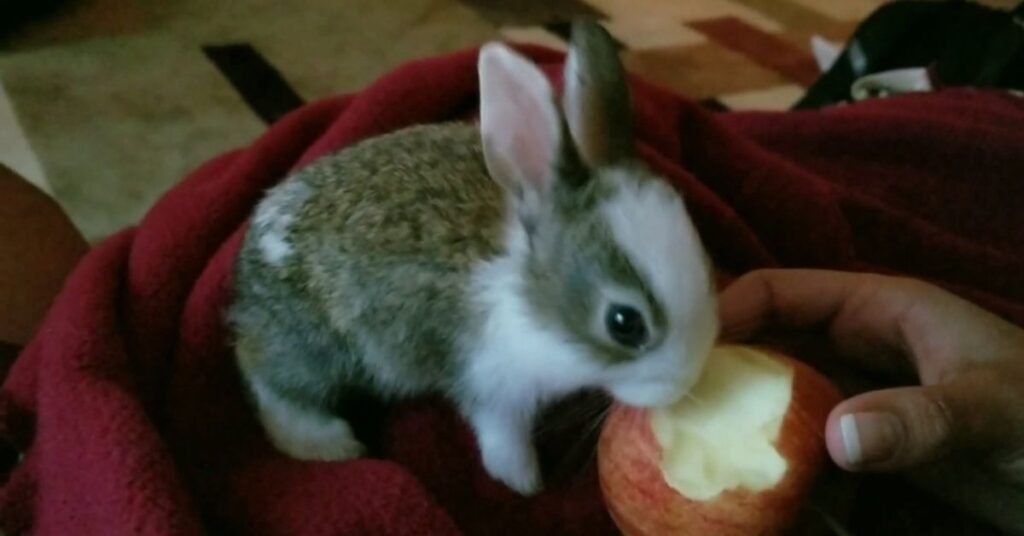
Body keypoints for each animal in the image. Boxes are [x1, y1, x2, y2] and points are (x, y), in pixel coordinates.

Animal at [227, 20, 719, 496]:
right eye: (624, 323)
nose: (687, 380)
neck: (529, 301)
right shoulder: (491, 383)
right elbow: (501, 433)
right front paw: (523, 482)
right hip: (314, 345)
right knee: (269, 380)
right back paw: (327, 442)